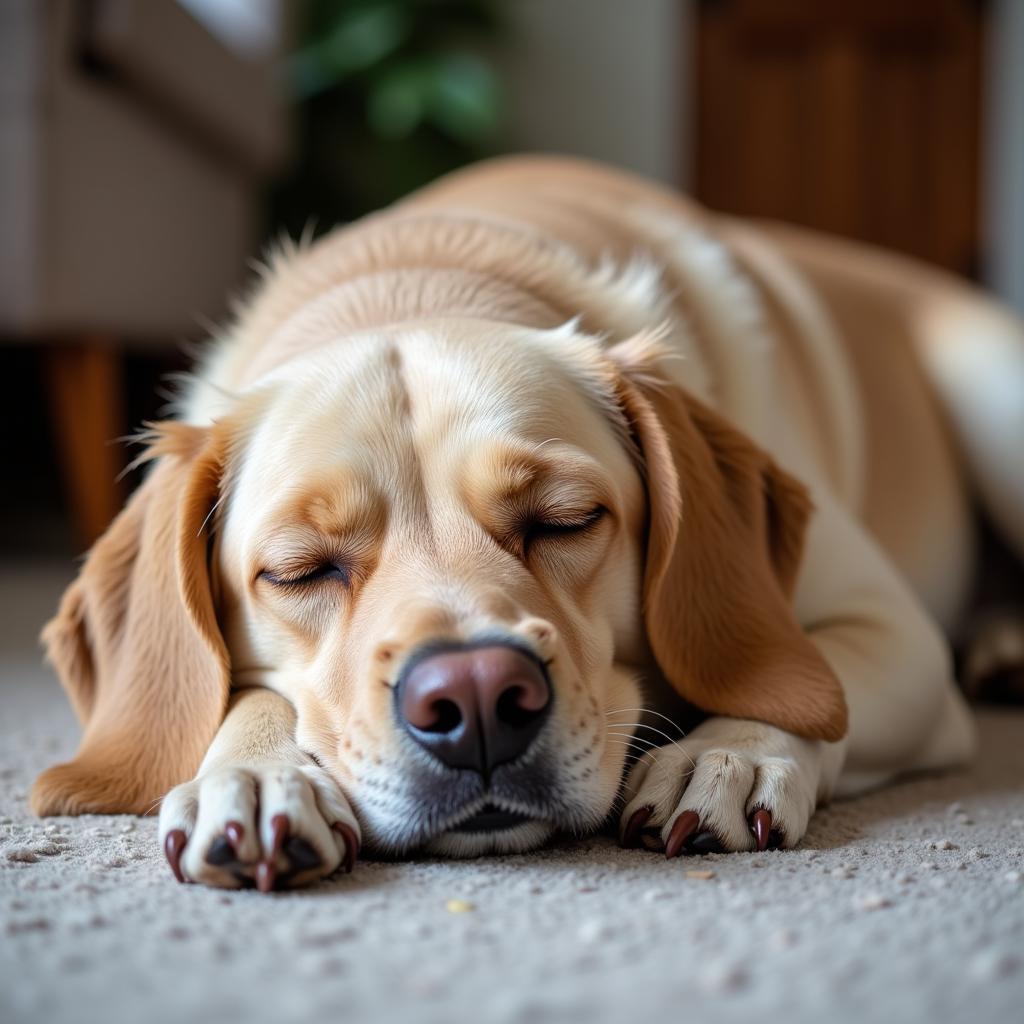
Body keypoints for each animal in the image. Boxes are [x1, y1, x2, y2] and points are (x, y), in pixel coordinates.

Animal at [34, 153, 1024, 888]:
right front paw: (253, 774)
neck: (414, 278)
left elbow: (801, 686)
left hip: (991, 398)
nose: (475, 699)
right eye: (299, 569)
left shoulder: (893, 632)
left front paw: (731, 753)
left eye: (566, 520)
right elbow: (248, 696)